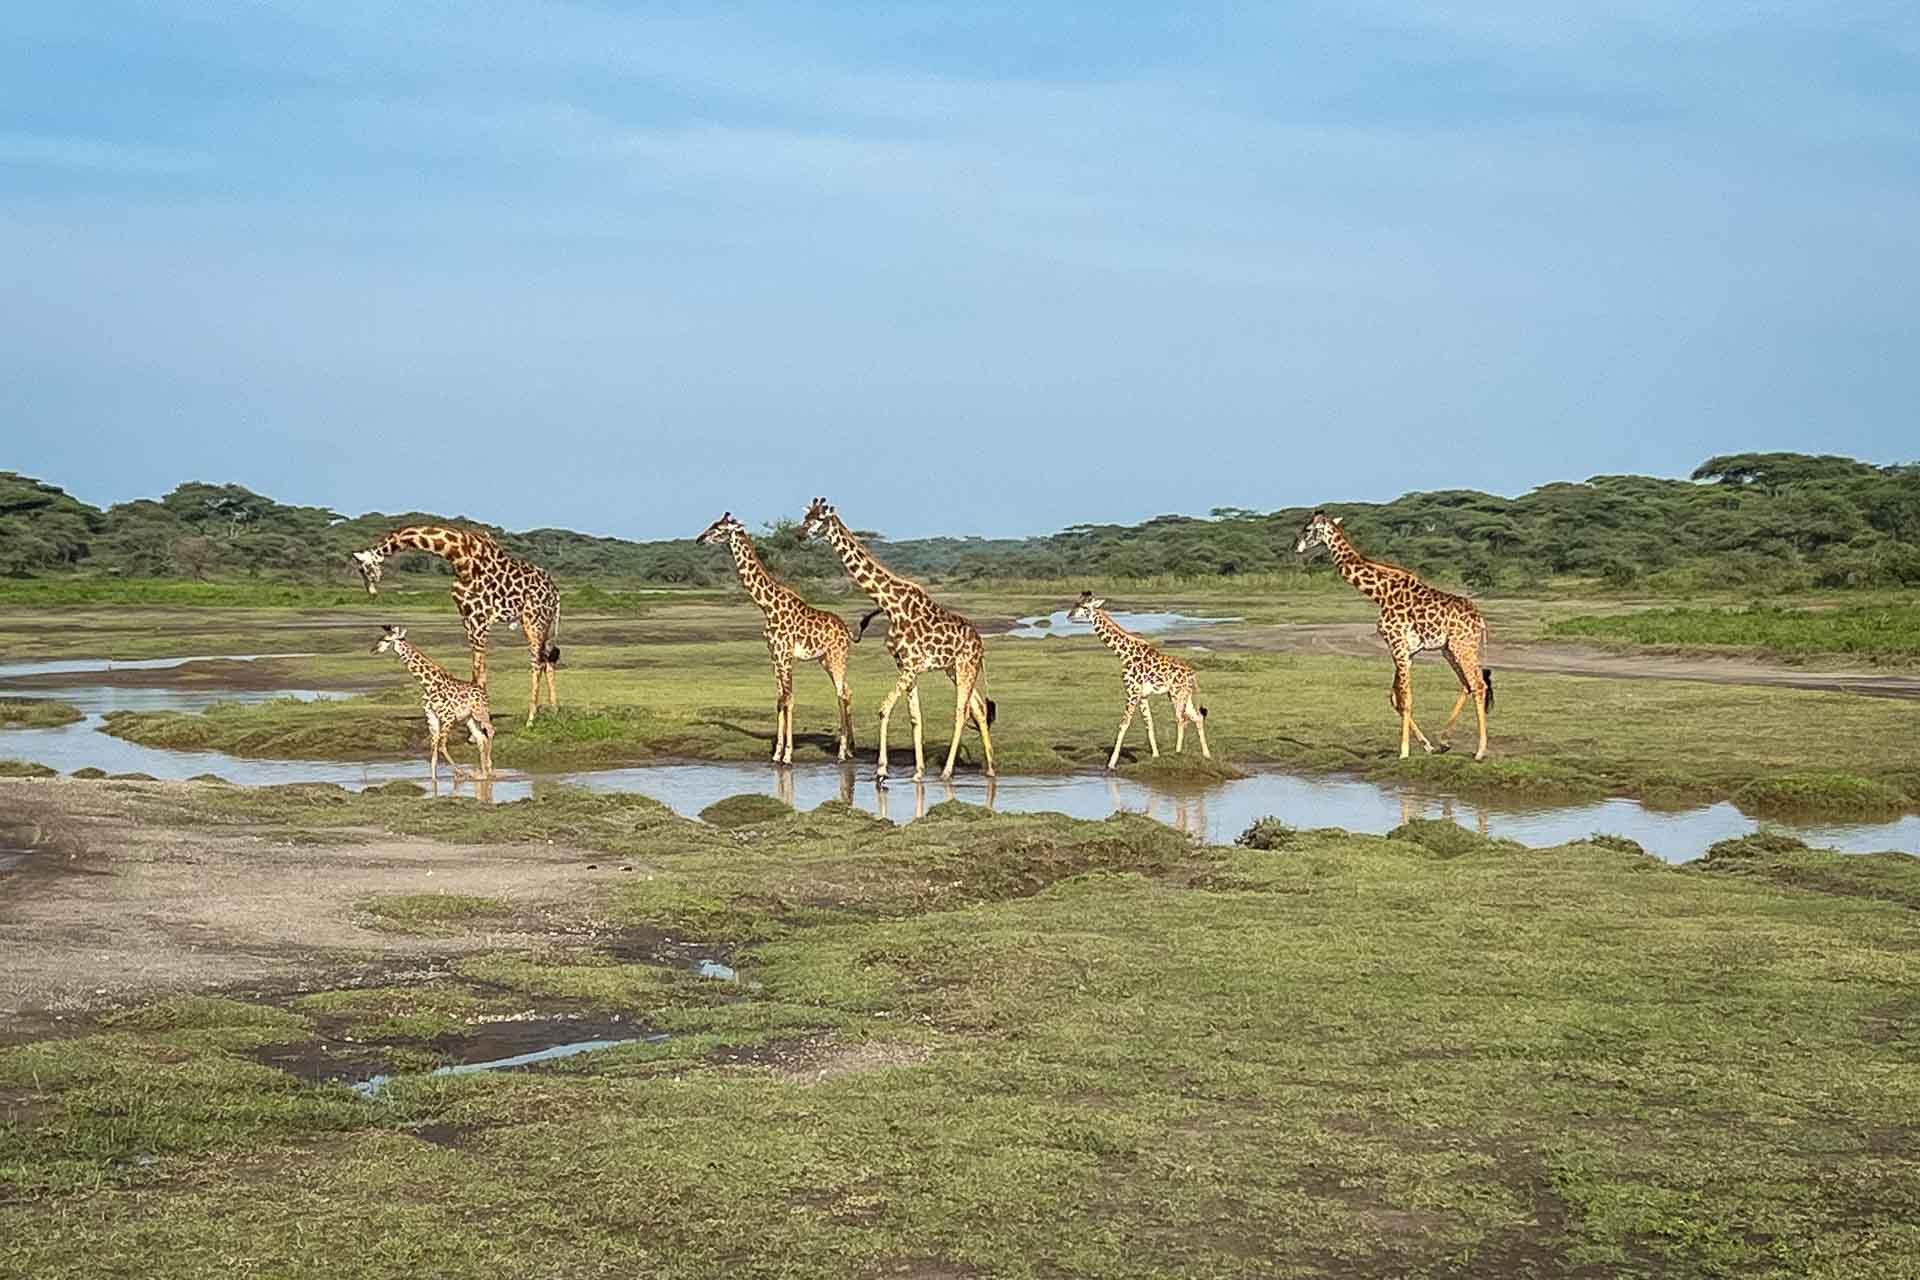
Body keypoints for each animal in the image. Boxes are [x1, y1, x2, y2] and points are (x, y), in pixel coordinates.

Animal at [349, 521, 560, 725]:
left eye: (365, 569)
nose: (372, 593)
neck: (459, 556)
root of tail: (555, 592)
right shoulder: (467, 618)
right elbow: (478, 668)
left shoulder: (479, 618)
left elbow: (478, 669)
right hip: (543, 623)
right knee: (547, 659)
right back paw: (554, 710)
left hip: (534, 619)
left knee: (537, 662)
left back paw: (531, 719)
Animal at [370, 621, 495, 782]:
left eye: (386, 640)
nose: (373, 650)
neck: (428, 685)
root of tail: (482, 691)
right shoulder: (431, 716)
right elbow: (434, 751)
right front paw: (434, 781)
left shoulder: (447, 716)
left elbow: (441, 746)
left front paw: (460, 773)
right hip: (469, 718)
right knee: (481, 739)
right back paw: (484, 773)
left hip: (480, 712)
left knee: (490, 731)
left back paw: (489, 768)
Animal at [698, 514, 856, 771]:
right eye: (713, 524)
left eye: (720, 528)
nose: (700, 539)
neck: (767, 606)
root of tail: (847, 630)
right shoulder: (774, 656)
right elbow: (780, 700)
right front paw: (776, 755)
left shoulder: (786, 654)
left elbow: (789, 699)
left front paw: (788, 755)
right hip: (824, 660)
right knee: (847, 691)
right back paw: (851, 749)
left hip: (837, 656)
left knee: (842, 693)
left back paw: (842, 753)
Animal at [798, 498, 998, 782]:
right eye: (806, 517)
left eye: (820, 519)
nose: (800, 534)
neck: (891, 605)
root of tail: (980, 643)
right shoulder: (905, 666)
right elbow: (915, 716)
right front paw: (918, 772)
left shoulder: (911, 665)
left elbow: (884, 709)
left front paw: (882, 771)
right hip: (953, 669)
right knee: (979, 708)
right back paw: (990, 767)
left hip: (965, 666)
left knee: (961, 711)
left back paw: (947, 771)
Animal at [1067, 594, 1213, 771]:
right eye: (1075, 603)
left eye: (1084, 607)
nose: (1069, 616)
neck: (1123, 654)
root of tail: (1192, 675)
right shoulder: (1143, 695)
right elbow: (1148, 723)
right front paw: (1155, 756)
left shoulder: (1132, 691)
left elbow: (1124, 724)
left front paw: (1111, 763)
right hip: (1185, 695)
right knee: (1196, 717)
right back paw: (1206, 755)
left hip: (1176, 694)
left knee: (1181, 720)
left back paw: (1178, 754)